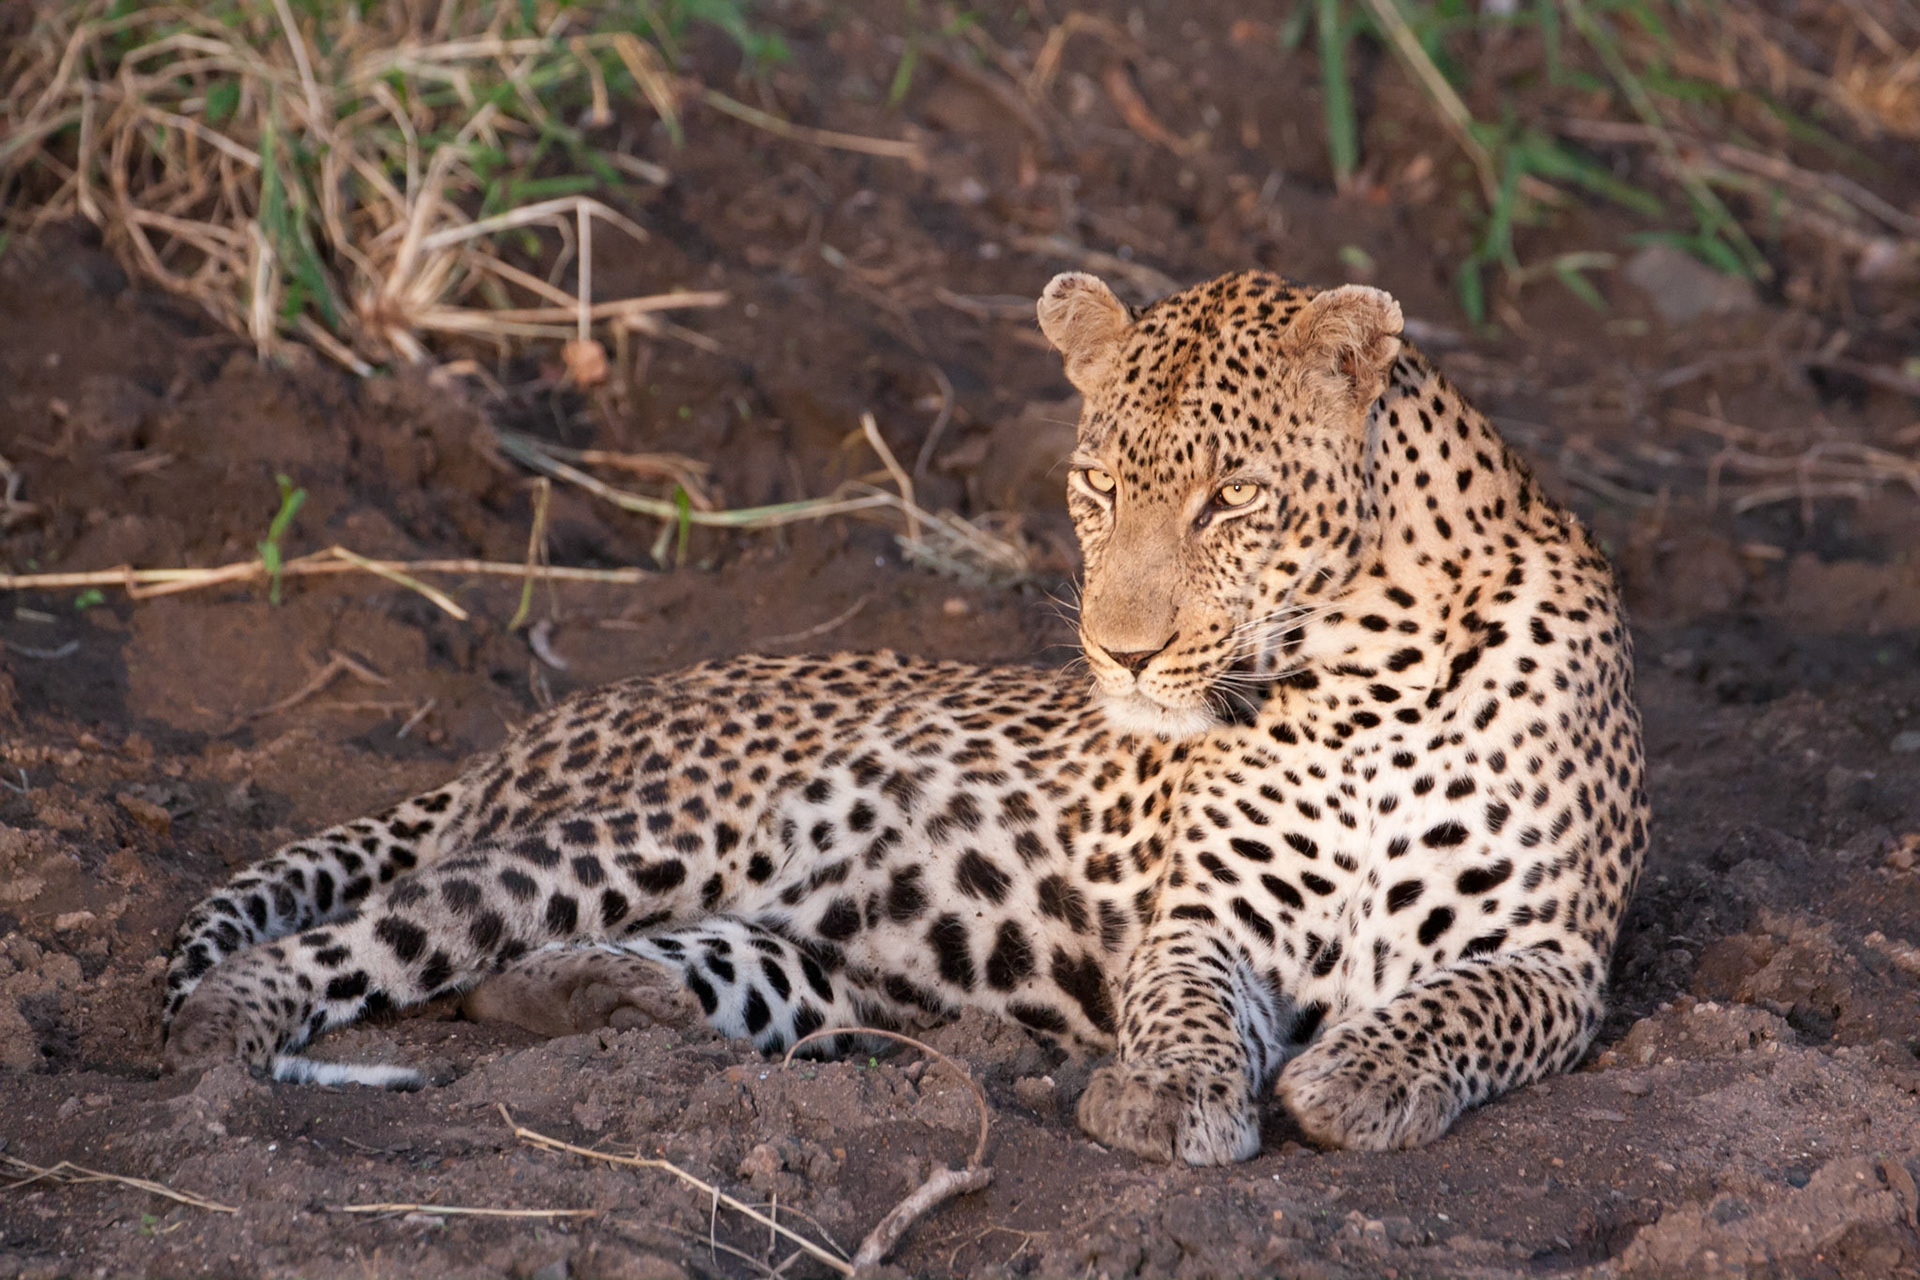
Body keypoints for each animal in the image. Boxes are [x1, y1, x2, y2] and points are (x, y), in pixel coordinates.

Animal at [160, 268, 1648, 1164]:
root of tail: (522, 735)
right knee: (367, 938)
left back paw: (602, 998)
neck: (1360, 681)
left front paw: (1356, 1076)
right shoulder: (1205, 920)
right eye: (1097, 487)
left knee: (581, 973)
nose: (1118, 653)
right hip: (646, 835)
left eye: (1232, 496)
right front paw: (1167, 1092)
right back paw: (217, 1059)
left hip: (794, 945)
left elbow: (1462, 1004)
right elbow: (1180, 999)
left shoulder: (1559, 953)